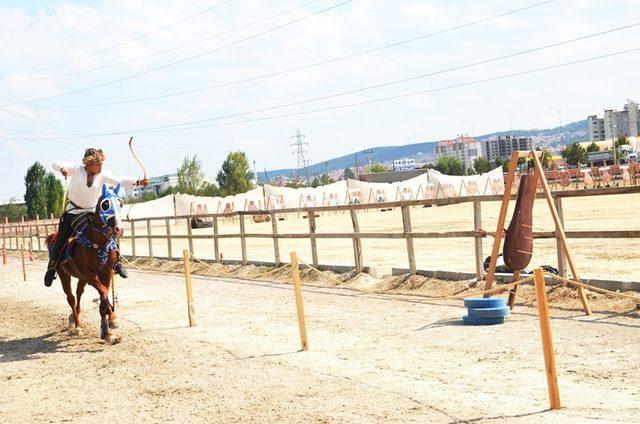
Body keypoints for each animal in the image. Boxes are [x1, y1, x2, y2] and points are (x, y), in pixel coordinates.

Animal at [45, 184, 124, 342]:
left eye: (121, 203)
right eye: (105, 205)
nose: (119, 228)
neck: (98, 242)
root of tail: (53, 237)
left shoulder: (106, 273)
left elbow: (103, 297)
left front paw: (107, 332)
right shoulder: (90, 275)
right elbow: (104, 293)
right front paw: (112, 319)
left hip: (81, 277)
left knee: (78, 292)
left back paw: (75, 319)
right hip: (64, 274)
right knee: (71, 298)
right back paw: (77, 326)